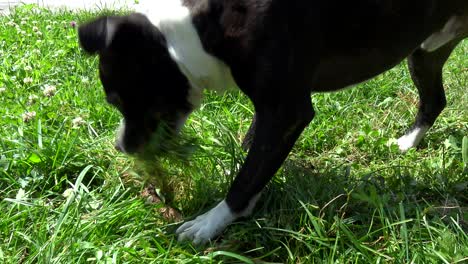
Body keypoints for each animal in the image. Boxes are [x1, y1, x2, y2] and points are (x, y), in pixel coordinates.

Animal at [77, 0, 468, 244]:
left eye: (117, 100)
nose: (120, 146)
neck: (201, 29)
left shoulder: (285, 111)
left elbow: (247, 178)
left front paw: (211, 222)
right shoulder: (271, 111)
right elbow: (255, 155)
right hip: (426, 51)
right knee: (435, 99)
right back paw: (408, 142)